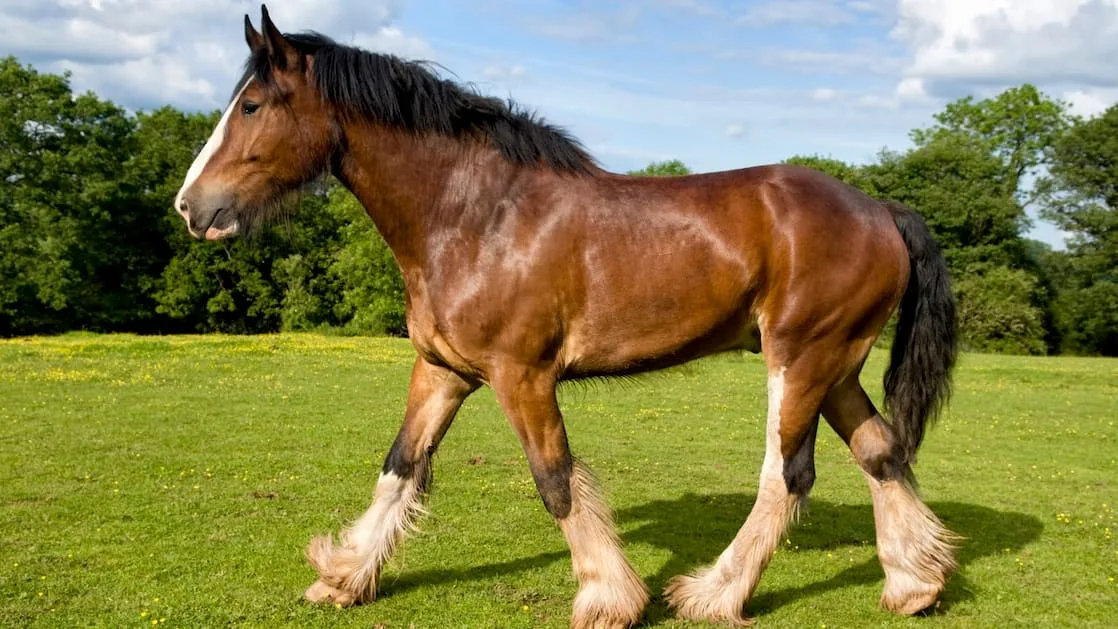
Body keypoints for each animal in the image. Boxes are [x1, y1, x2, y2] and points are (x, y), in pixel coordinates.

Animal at [173, 7, 959, 627]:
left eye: (251, 105)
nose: (191, 206)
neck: (475, 215)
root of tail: (879, 209)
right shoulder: (443, 370)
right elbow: (401, 466)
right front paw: (344, 575)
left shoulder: (523, 377)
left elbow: (553, 479)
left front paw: (608, 598)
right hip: (836, 366)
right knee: (881, 452)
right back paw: (914, 583)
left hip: (799, 361)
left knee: (787, 475)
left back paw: (713, 594)